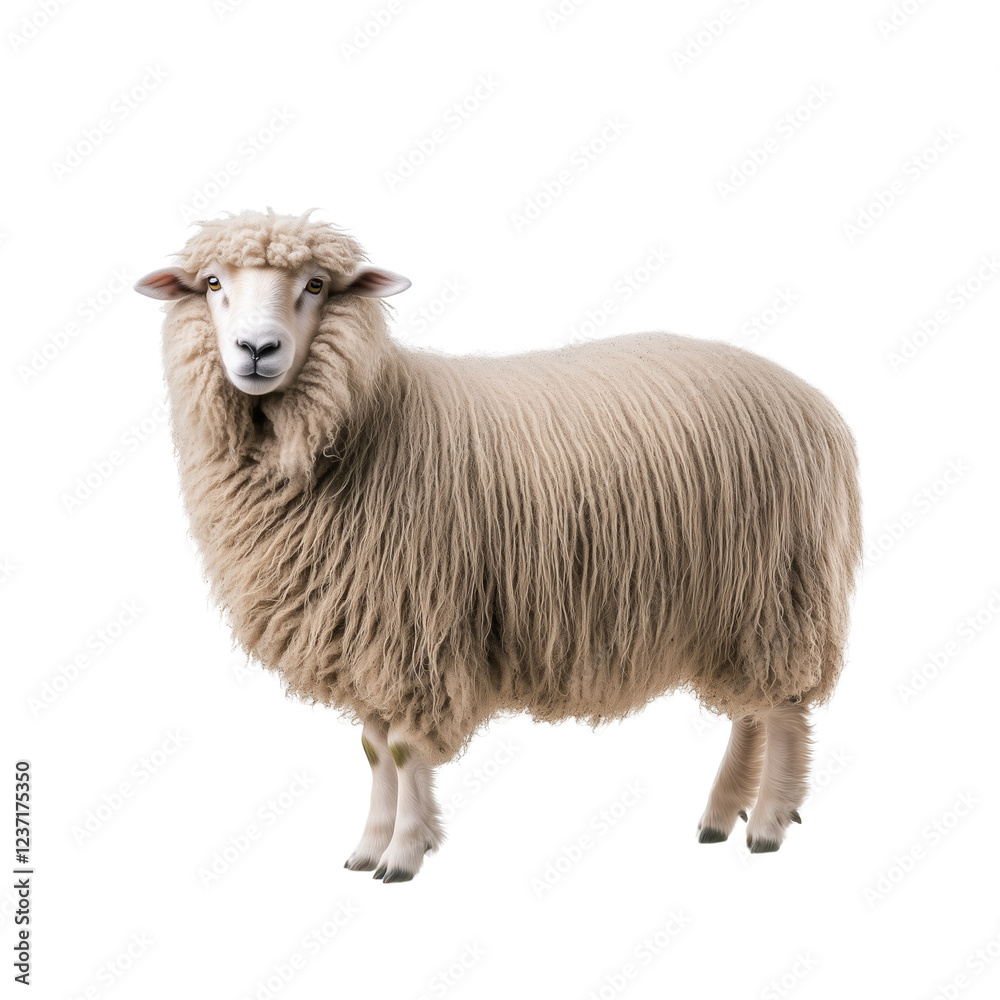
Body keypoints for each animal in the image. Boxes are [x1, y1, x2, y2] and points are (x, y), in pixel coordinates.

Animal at [135, 208, 862, 882]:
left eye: (316, 284)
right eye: (211, 283)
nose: (257, 349)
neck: (363, 423)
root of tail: (813, 402)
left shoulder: (411, 629)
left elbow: (403, 750)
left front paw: (402, 855)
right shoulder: (362, 630)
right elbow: (374, 750)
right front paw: (370, 846)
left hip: (781, 587)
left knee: (783, 710)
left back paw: (766, 822)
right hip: (737, 602)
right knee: (750, 710)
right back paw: (719, 814)